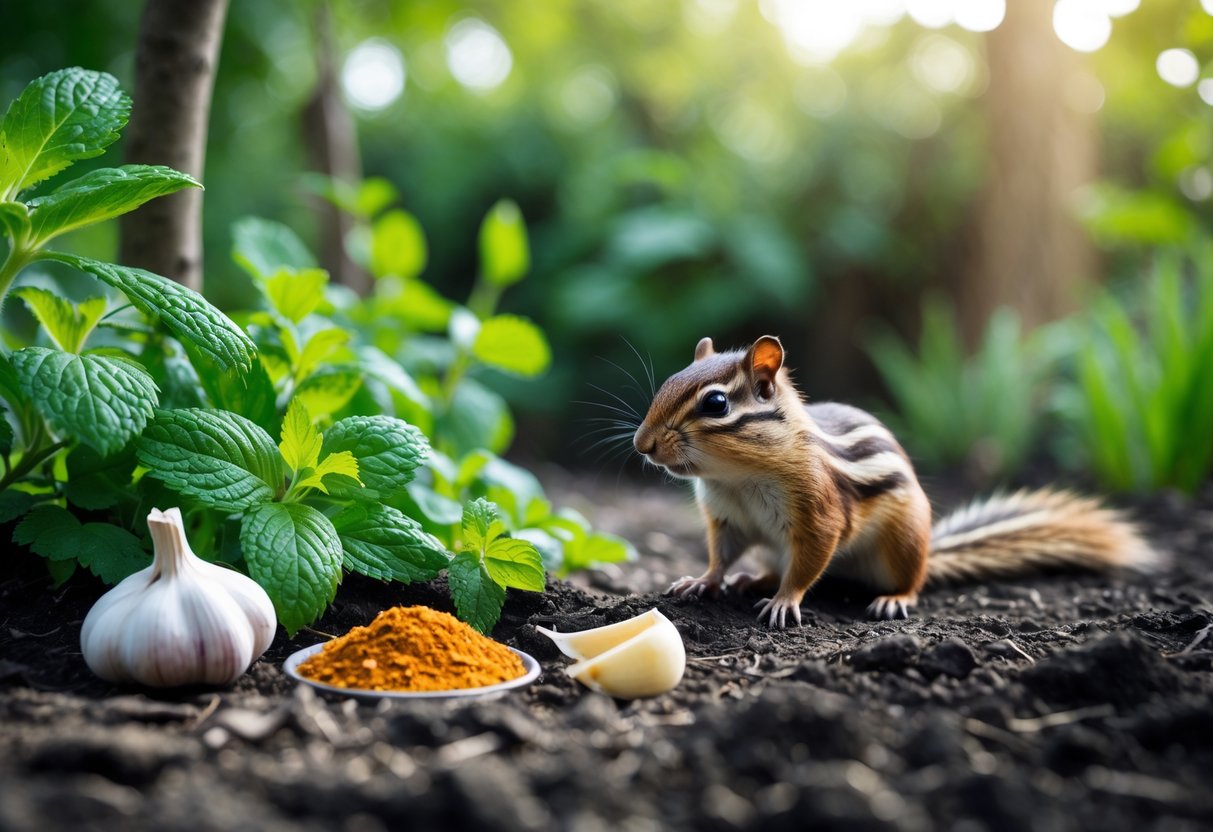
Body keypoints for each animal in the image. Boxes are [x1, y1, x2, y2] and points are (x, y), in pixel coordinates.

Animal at [633, 335, 1160, 628]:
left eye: (716, 404)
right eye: (670, 382)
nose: (643, 444)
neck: (738, 478)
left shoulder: (820, 515)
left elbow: (808, 566)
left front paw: (784, 601)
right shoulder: (728, 520)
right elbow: (719, 557)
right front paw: (703, 580)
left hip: (903, 541)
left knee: (911, 582)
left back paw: (892, 599)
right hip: (775, 549)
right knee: (771, 565)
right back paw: (751, 579)